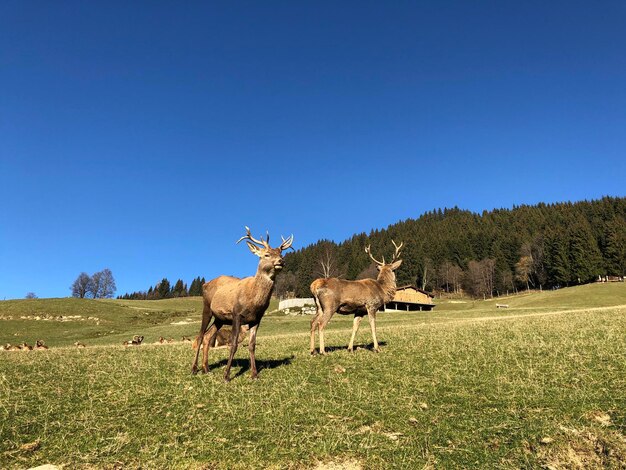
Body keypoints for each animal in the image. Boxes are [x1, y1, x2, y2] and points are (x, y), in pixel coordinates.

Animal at [190, 228, 292, 382]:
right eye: (266, 254)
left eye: (281, 253)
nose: (281, 261)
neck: (254, 303)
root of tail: (205, 284)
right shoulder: (236, 314)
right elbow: (233, 345)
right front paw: (226, 375)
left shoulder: (257, 319)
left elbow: (252, 345)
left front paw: (254, 374)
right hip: (207, 308)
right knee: (201, 335)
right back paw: (194, 369)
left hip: (220, 318)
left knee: (208, 336)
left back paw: (206, 369)